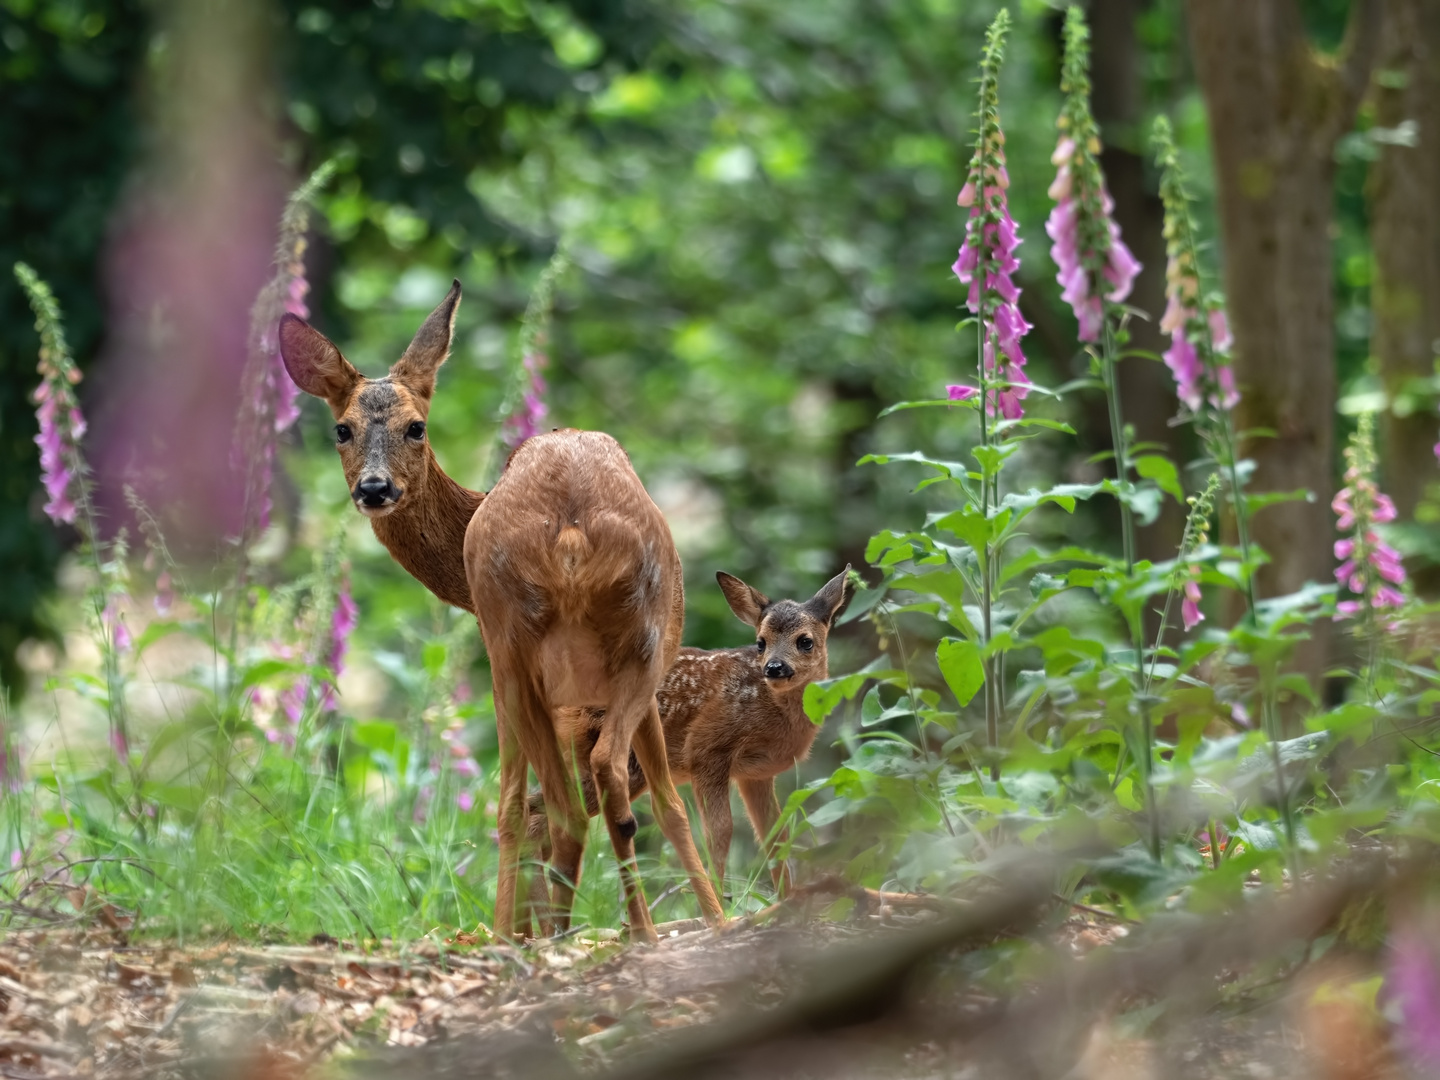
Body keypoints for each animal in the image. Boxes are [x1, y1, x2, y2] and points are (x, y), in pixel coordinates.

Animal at [276, 283, 725, 944]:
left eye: (416, 427)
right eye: (341, 428)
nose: (375, 489)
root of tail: (570, 530)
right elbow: (665, 805)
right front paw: (716, 918)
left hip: (523, 649)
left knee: (543, 803)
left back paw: (534, 932)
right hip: (621, 644)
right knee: (586, 790)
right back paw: (610, 929)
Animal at [527, 567, 840, 904]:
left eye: (805, 641)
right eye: (760, 642)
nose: (774, 667)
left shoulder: (755, 773)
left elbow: (775, 835)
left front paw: (786, 902)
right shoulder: (707, 748)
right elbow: (720, 830)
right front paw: (720, 899)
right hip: (619, 762)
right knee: (540, 819)